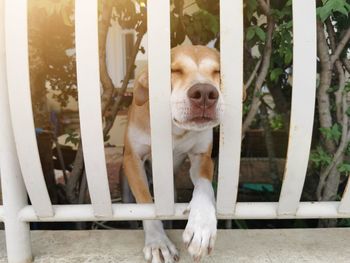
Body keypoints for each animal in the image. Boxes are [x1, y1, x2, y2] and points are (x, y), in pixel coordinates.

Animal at [123, 44, 226, 262]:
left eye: (217, 72)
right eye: (174, 70)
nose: (205, 93)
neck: (174, 129)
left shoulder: (201, 157)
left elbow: (204, 187)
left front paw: (202, 225)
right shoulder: (134, 159)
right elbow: (147, 203)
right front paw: (157, 242)